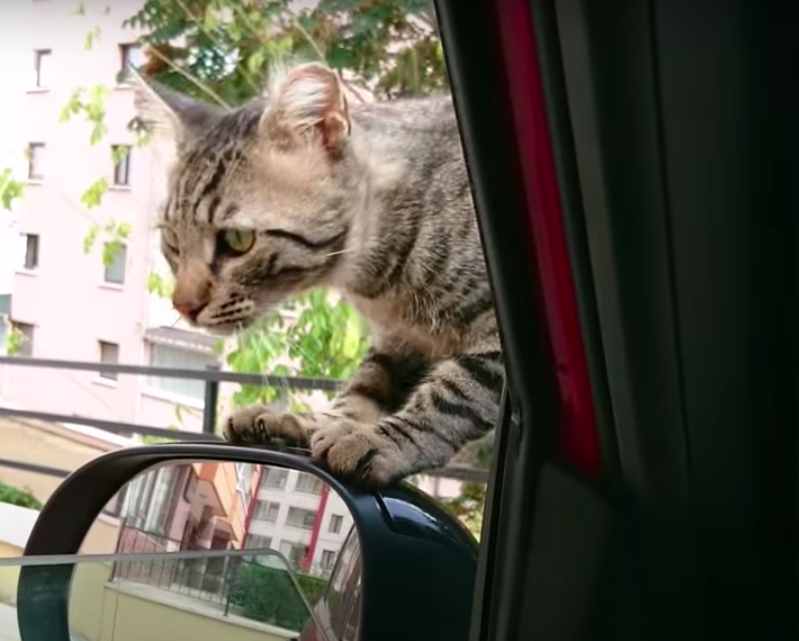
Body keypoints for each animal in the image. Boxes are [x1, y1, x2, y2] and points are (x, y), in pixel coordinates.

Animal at [134, 63, 504, 484]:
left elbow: (453, 397)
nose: (183, 306)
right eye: (172, 241)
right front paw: (310, 422)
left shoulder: (493, 343)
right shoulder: (400, 340)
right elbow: (364, 388)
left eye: (237, 240)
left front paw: (385, 440)